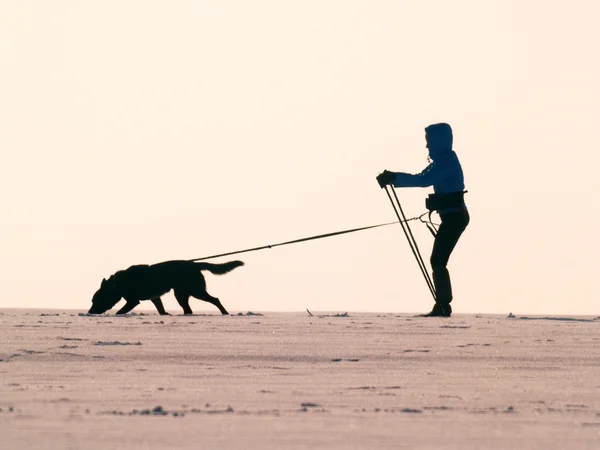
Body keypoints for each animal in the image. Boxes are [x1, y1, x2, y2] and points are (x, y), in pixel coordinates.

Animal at [88, 260, 243, 316]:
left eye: (96, 300)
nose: (90, 312)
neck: (118, 284)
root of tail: (195, 264)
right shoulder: (155, 298)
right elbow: (160, 309)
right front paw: (165, 314)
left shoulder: (133, 301)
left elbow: (120, 311)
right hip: (181, 295)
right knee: (188, 309)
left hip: (196, 291)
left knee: (215, 299)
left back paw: (224, 312)